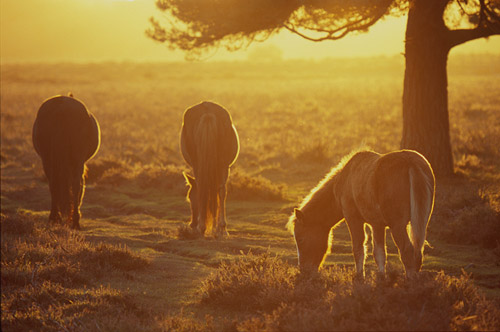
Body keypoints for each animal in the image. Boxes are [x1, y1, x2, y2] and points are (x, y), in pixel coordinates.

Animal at [32, 93, 100, 228]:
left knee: (53, 184)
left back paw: (54, 218)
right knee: (75, 184)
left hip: (47, 159)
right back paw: (75, 221)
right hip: (77, 160)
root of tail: (61, 108)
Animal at [181, 100, 239, 236]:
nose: (192, 224)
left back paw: (202, 227)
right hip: (222, 165)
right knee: (221, 190)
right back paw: (221, 228)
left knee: (203, 187)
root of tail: (207, 110)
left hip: (199, 164)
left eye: (190, 198)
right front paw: (218, 227)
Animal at [288, 150, 436, 278]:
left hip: (397, 226)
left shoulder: (353, 219)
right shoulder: (377, 225)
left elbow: (358, 248)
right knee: (417, 253)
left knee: (407, 251)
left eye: (300, 239)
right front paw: (381, 277)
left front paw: (360, 276)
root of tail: (410, 161)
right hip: (421, 222)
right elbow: (379, 253)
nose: (303, 270)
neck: (345, 179)